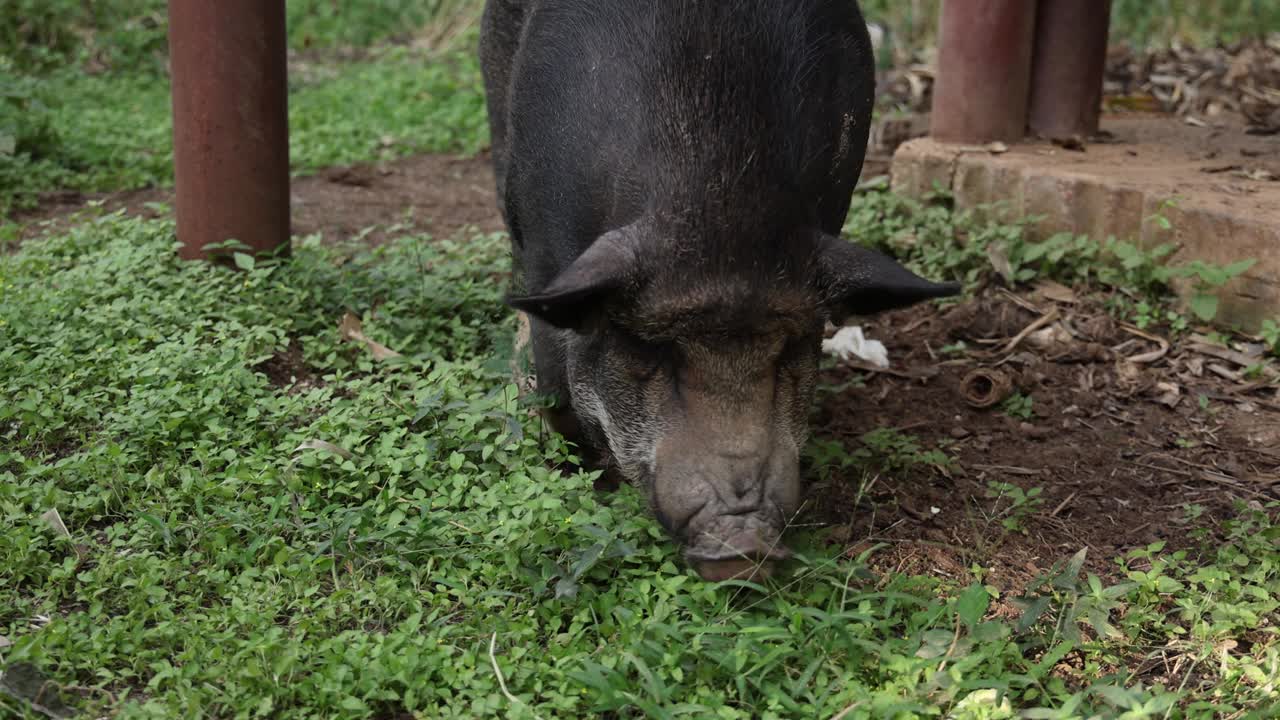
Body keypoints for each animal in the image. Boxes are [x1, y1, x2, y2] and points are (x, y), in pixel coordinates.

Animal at [481, 0, 962, 576]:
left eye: (791, 349)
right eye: (652, 350)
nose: (744, 545)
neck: (720, 206)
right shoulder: (545, 253)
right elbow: (556, 382)